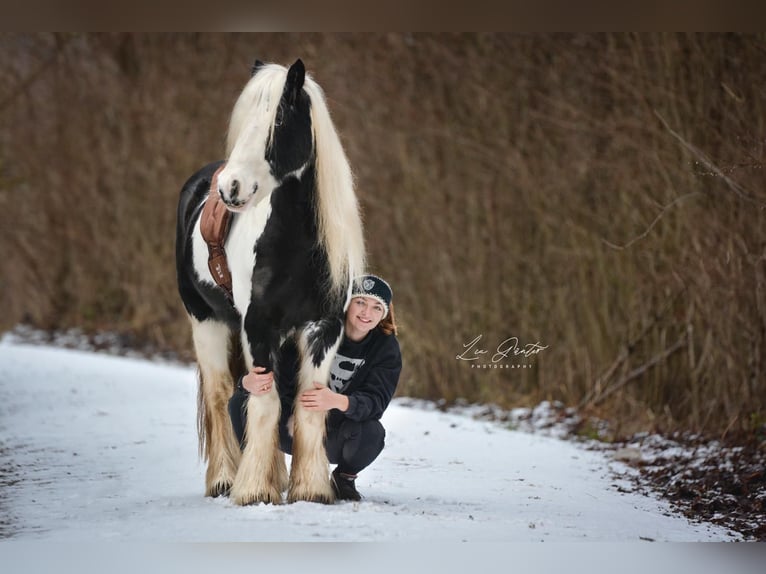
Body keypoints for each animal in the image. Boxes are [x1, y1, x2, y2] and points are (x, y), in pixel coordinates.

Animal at [176, 58, 368, 506]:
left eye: (278, 121)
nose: (229, 188)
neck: (295, 247)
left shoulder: (322, 329)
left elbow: (307, 405)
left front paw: (310, 489)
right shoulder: (257, 327)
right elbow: (262, 404)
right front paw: (254, 491)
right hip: (206, 322)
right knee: (220, 395)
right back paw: (224, 479)